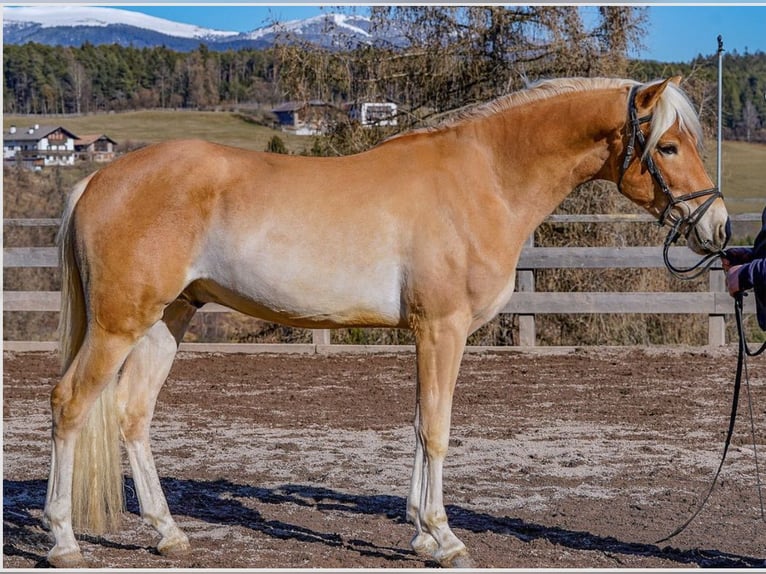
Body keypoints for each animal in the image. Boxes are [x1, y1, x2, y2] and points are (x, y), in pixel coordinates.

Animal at [43, 75, 732, 568]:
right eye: (669, 145)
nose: (718, 227)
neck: (484, 178)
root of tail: (98, 180)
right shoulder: (442, 329)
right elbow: (437, 430)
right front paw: (444, 538)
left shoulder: (427, 335)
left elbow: (419, 425)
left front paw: (421, 533)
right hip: (118, 325)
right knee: (70, 403)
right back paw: (64, 541)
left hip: (168, 320)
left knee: (132, 414)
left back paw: (168, 533)